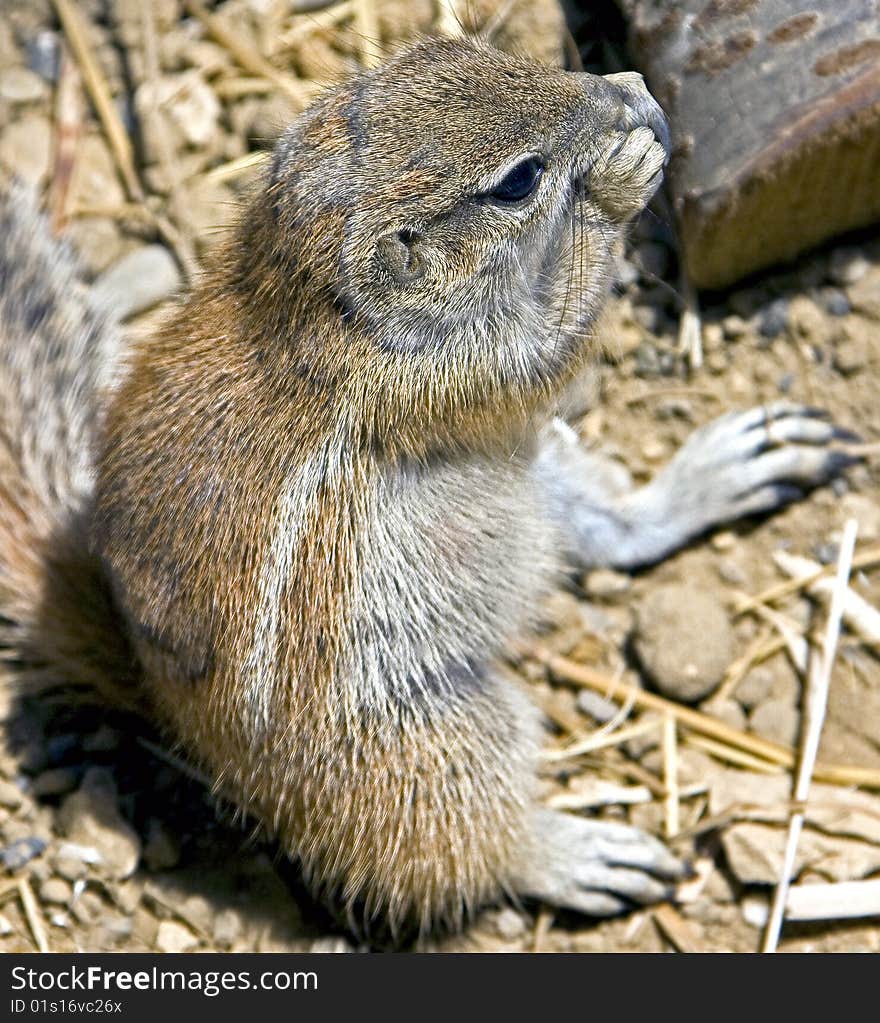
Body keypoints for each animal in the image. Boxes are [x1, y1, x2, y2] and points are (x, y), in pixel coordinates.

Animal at [0, 37, 855, 937]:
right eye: (517, 181)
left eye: (472, 52)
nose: (635, 96)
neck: (320, 300)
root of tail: (159, 699)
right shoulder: (463, 370)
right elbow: (562, 327)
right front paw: (625, 175)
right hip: (424, 745)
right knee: (456, 843)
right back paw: (573, 851)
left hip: (540, 479)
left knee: (617, 527)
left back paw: (721, 472)